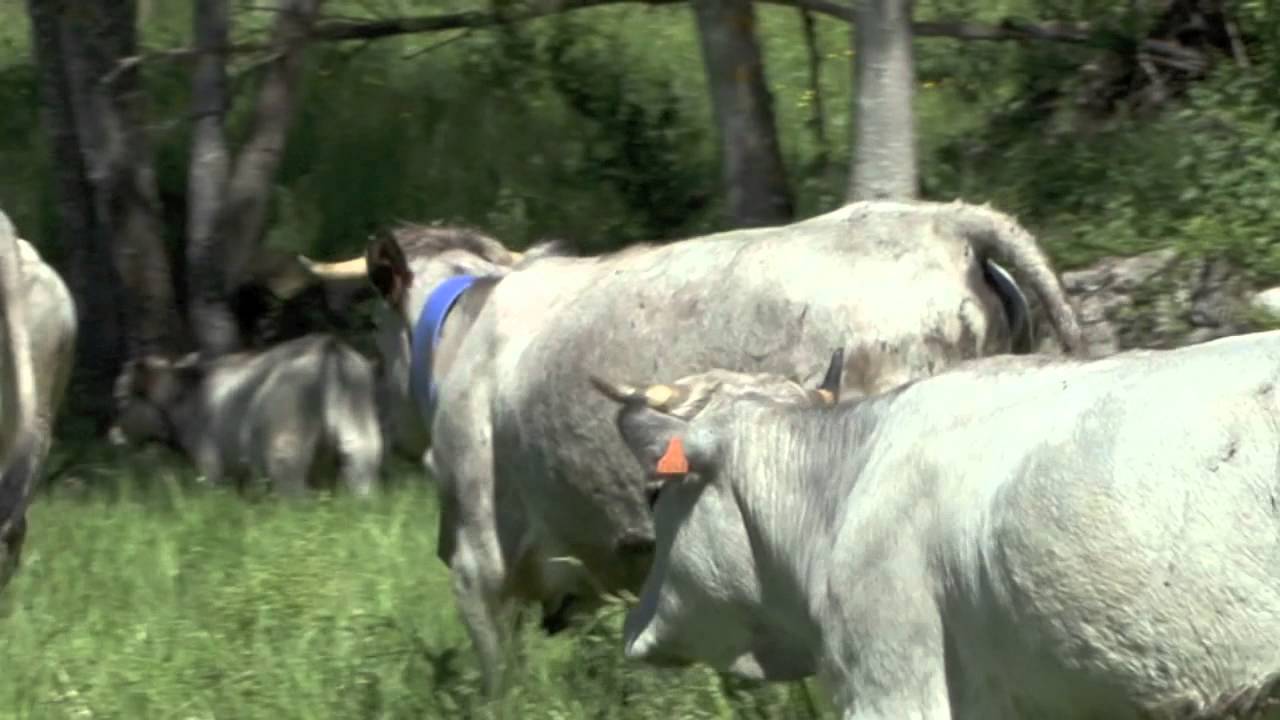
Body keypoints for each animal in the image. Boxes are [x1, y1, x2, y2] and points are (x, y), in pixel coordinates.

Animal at [109, 333, 384, 498]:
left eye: (121, 398)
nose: (112, 434)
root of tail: (327, 346)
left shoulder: (210, 465)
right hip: (361, 443)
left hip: (286, 455)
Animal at [299, 199, 1086, 693]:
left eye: (376, 326)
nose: (388, 413)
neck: (465, 334)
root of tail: (948, 223)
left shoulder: (479, 562)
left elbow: (501, 681)